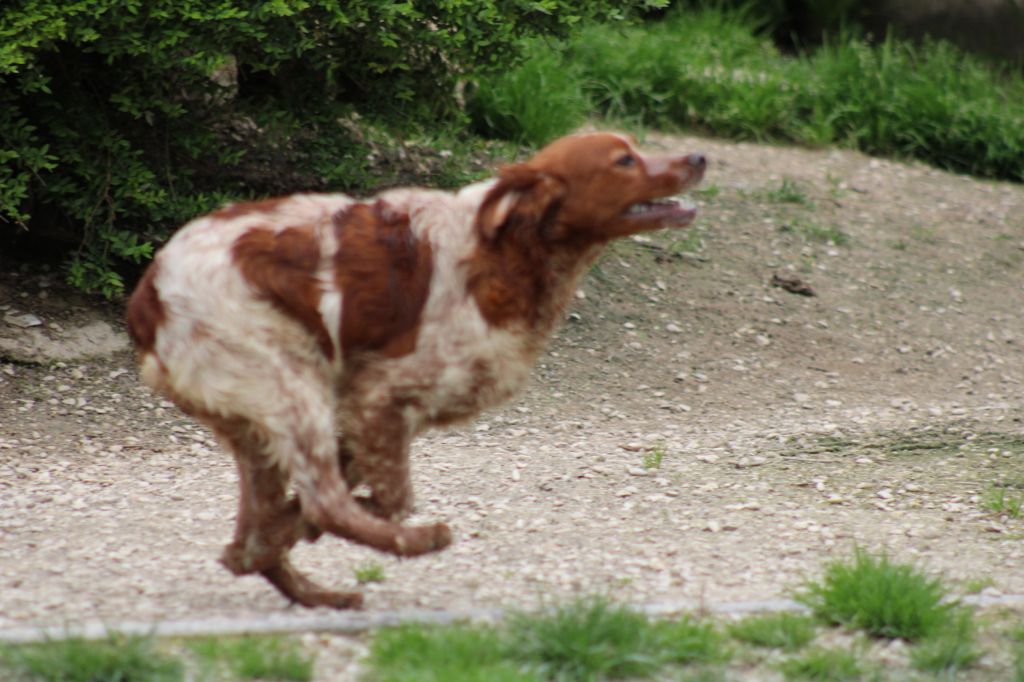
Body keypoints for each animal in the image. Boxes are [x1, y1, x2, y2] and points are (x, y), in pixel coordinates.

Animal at [125, 131, 704, 606]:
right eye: (624, 160)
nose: (698, 157)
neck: (507, 253)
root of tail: (148, 294)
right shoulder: (380, 393)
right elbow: (388, 500)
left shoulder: (375, 417)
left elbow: (332, 502)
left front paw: (273, 543)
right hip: (291, 385)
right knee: (325, 500)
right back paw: (417, 542)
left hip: (255, 420)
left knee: (263, 515)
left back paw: (312, 589)